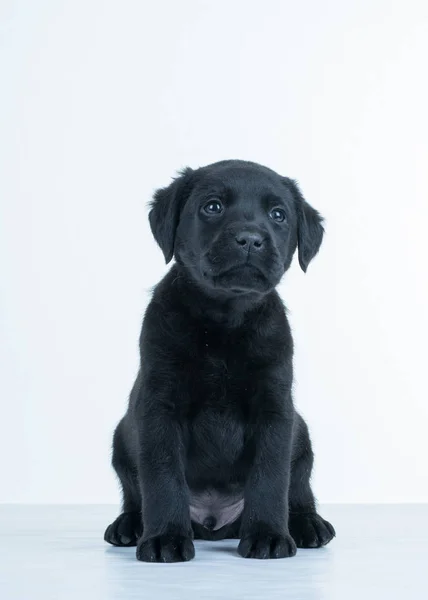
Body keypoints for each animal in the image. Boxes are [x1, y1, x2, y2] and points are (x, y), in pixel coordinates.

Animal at [103, 161, 334, 564]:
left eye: (278, 215)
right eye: (212, 207)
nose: (250, 239)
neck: (224, 322)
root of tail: (214, 522)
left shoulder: (275, 410)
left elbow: (271, 478)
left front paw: (268, 534)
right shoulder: (159, 407)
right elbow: (162, 476)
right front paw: (165, 537)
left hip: (301, 432)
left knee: (299, 491)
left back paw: (308, 525)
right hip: (121, 437)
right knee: (135, 497)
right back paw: (129, 526)